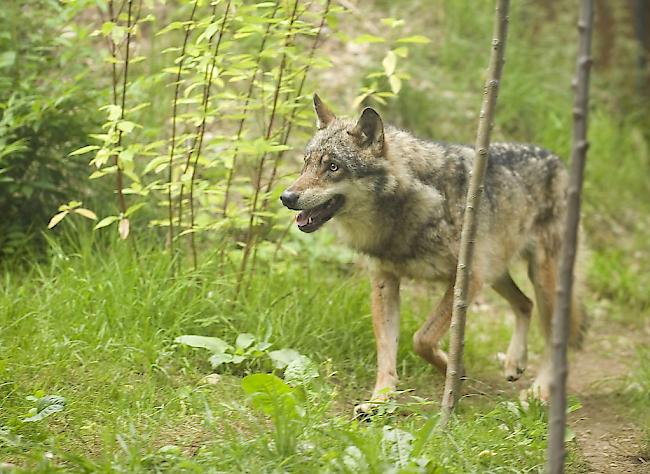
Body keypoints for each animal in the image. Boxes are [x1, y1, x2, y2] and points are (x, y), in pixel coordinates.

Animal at [280, 94, 584, 412]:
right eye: (306, 163)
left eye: (333, 167)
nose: (286, 197)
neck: (404, 211)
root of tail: (557, 160)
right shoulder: (385, 281)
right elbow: (386, 350)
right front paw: (380, 400)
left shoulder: (466, 280)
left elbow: (421, 339)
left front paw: (454, 371)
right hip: (495, 272)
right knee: (525, 304)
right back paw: (515, 362)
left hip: (538, 279)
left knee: (554, 337)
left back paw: (540, 390)